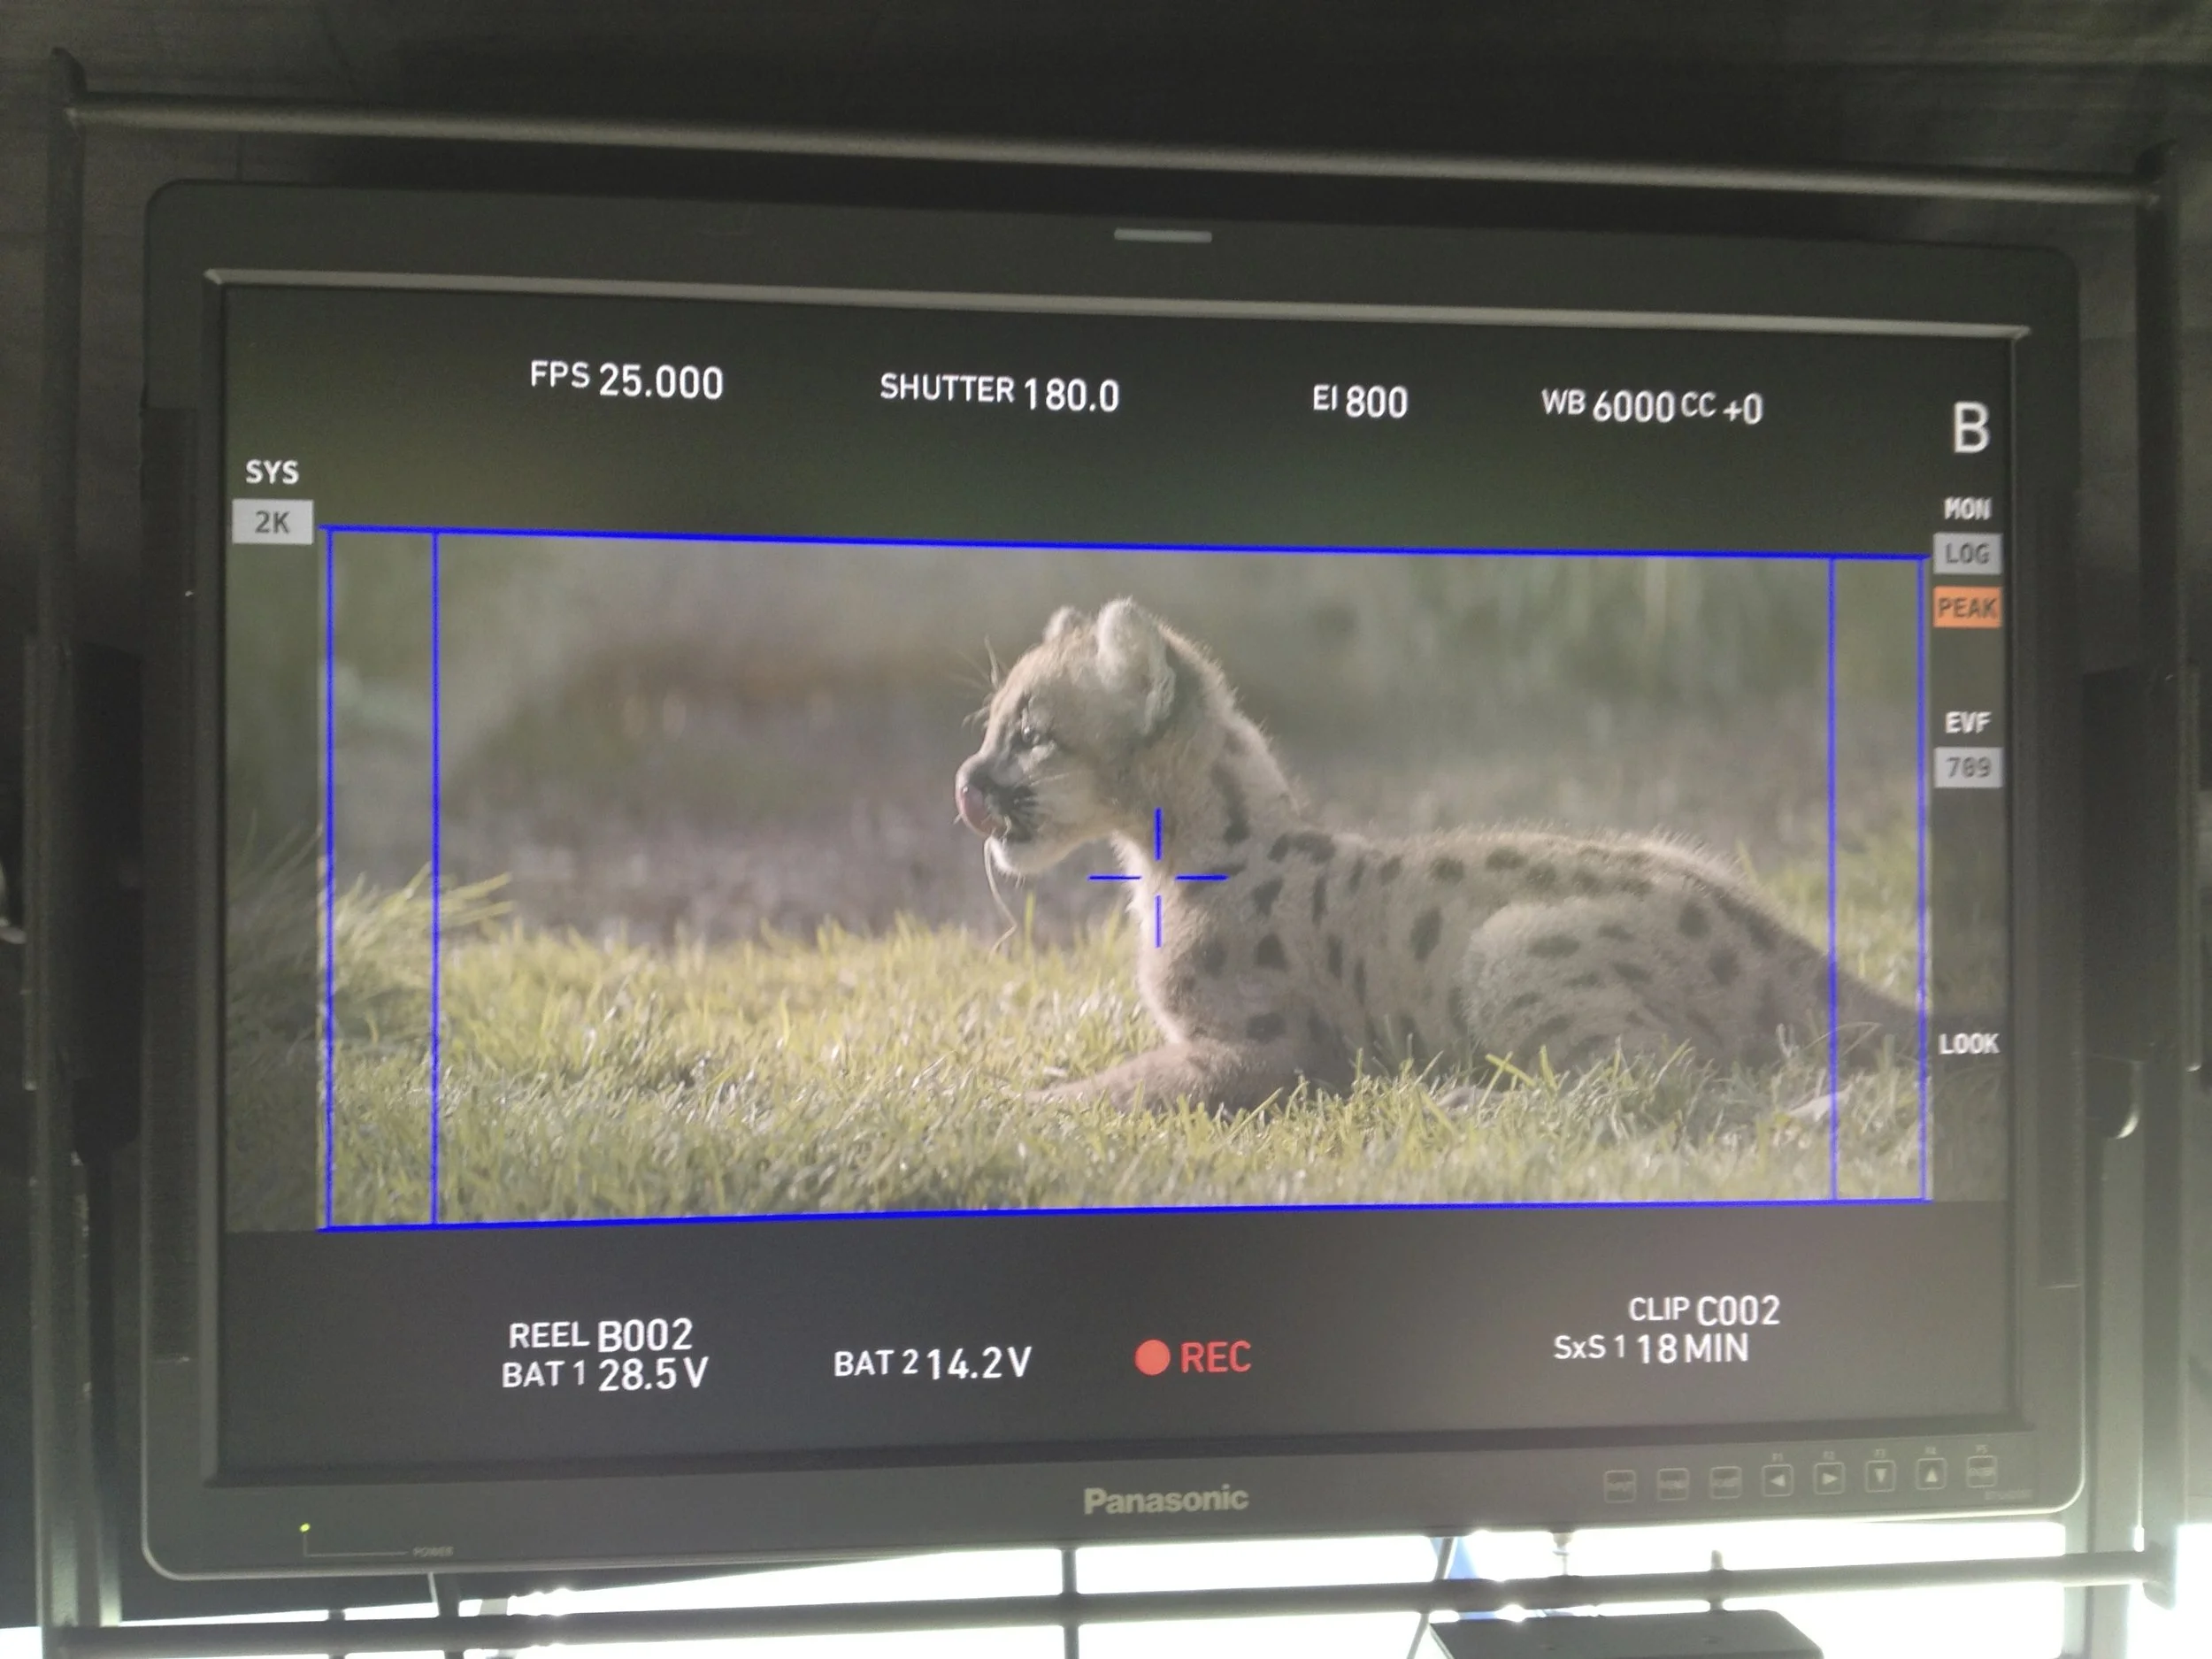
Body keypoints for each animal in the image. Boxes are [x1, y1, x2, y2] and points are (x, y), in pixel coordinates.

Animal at [953, 598, 1915, 1115]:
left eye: (1033, 737)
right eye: (995, 725)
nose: (964, 782)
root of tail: (1793, 951)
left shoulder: (1255, 1053)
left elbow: (1114, 1086)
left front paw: (1002, 1104)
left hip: (1505, 947)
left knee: (1657, 1077)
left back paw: (1466, 1097)